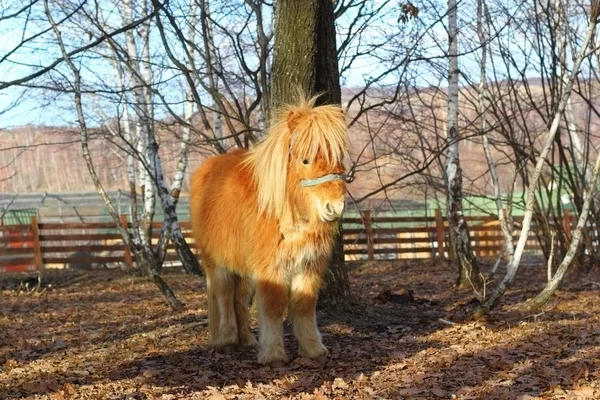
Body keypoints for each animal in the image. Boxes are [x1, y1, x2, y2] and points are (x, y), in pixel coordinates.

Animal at [190, 97, 350, 366]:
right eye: (305, 160)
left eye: (338, 157)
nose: (334, 207)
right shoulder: (271, 268)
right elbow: (274, 306)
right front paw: (274, 355)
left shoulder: (308, 265)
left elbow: (304, 304)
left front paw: (313, 349)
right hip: (216, 262)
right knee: (224, 294)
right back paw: (227, 340)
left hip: (243, 267)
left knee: (239, 297)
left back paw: (246, 339)